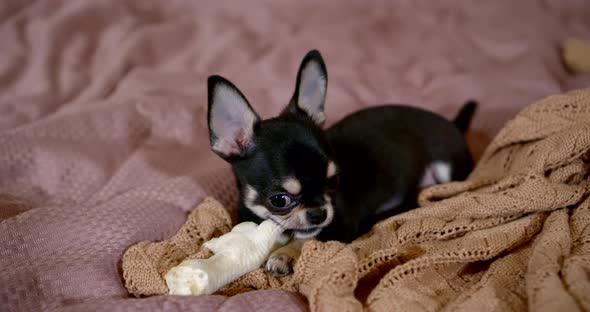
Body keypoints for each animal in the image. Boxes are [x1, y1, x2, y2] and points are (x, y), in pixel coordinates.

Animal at [206, 50, 478, 276]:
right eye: (279, 200)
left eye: (333, 181)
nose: (320, 213)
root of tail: (453, 124)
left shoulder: (342, 225)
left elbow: (310, 238)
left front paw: (284, 255)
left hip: (446, 169)